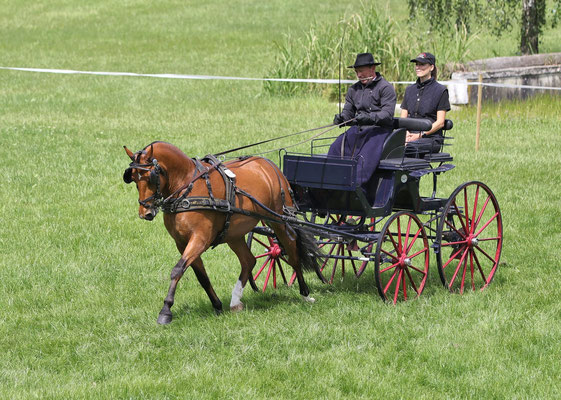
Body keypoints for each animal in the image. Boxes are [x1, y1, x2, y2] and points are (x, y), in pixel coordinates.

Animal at [123, 142, 324, 324]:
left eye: (151, 177)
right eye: (133, 178)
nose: (145, 213)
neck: (187, 187)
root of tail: (268, 164)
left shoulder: (200, 239)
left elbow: (177, 270)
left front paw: (166, 311)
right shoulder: (182, 243)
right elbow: (201, 276)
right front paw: (217, 305)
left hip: (279, 220)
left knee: (292, 249)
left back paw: (305, 293)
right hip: (234, 233)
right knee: (249, 260)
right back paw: (235, 301)